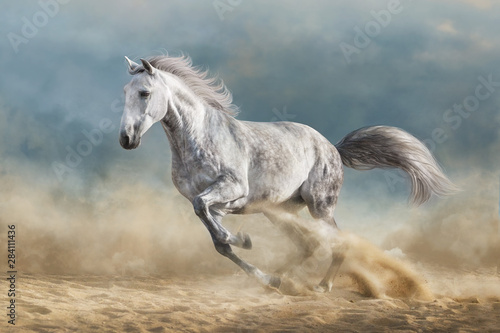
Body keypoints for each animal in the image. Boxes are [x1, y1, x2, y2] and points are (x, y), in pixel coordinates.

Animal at [119, 54, 456, 290]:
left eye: (144, 93)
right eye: (125, 92)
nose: (126, 139)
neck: (198, 138)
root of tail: (333, 148)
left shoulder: (232, 189)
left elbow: (212, 219)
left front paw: (242, 239)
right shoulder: (210, 202)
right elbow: (217, 238)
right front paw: (250, 256)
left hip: (319, 207)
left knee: (338, 241)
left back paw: (323, 285)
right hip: (279, 211)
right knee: (308, 245)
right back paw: (280, 280)